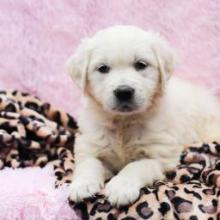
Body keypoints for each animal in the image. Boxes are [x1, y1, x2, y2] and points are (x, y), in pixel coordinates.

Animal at [66, 25, 220, 206]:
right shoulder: (90, 143)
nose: (123, 92)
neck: (123, 122)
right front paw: (82, 184)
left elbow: (136, 166)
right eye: (103, 68)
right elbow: (88, 163)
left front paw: (121, 187)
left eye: (141, 64)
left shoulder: (161, 156)